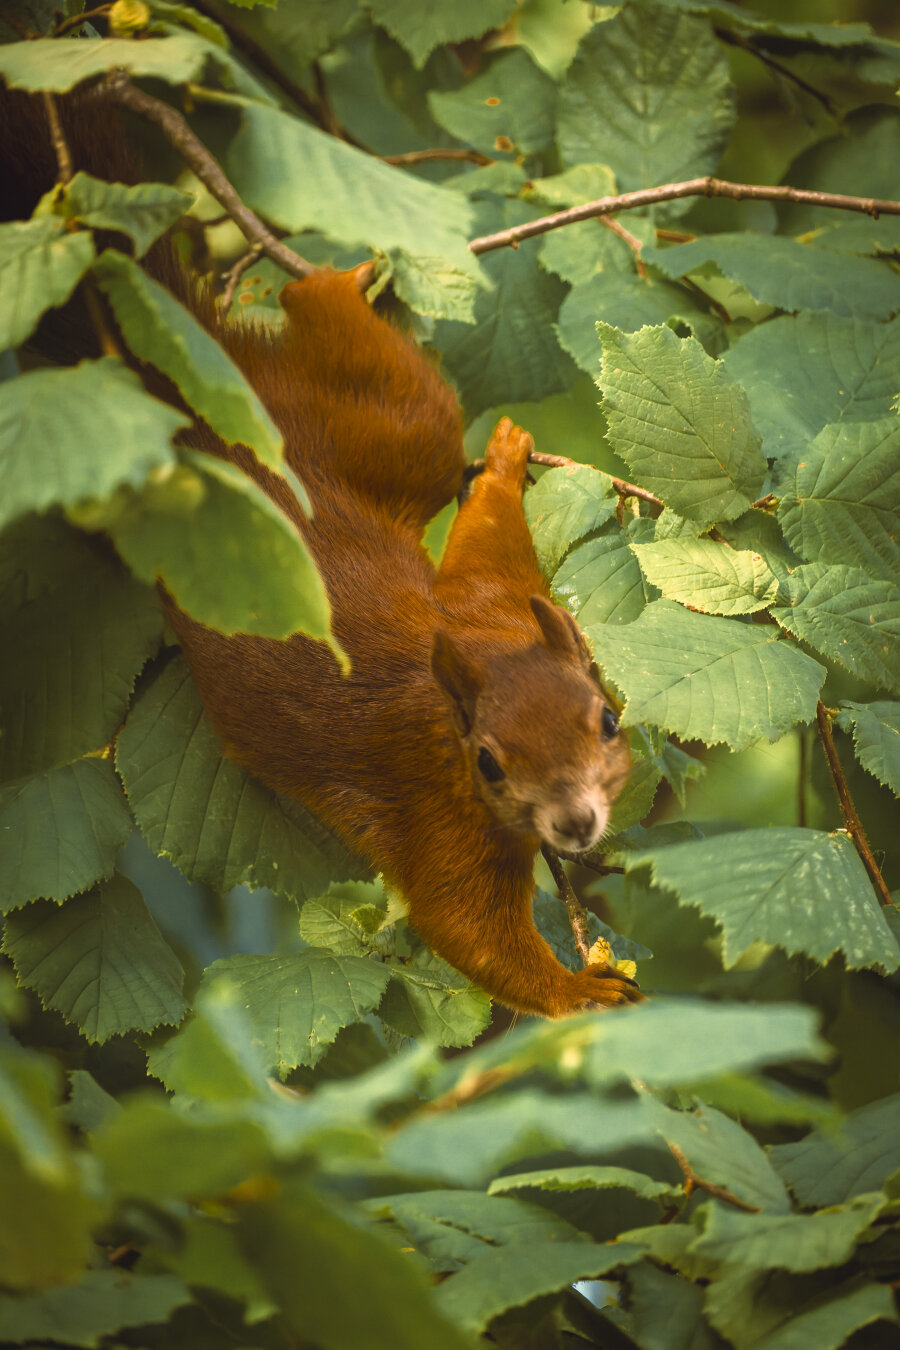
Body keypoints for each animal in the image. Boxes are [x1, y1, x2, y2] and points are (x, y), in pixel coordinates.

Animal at [4, 93, 640, 1018]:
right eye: (489, 763)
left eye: (608, 719)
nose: (575, 827)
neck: (462, 681)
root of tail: (215, 424)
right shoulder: (436, 808)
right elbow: (468, 930)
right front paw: (582, 994)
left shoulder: (490, 606)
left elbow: (481, 559)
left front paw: (503, 472)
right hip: (385, 431)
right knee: (392, 383)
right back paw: (335, 280)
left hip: (371, 441)